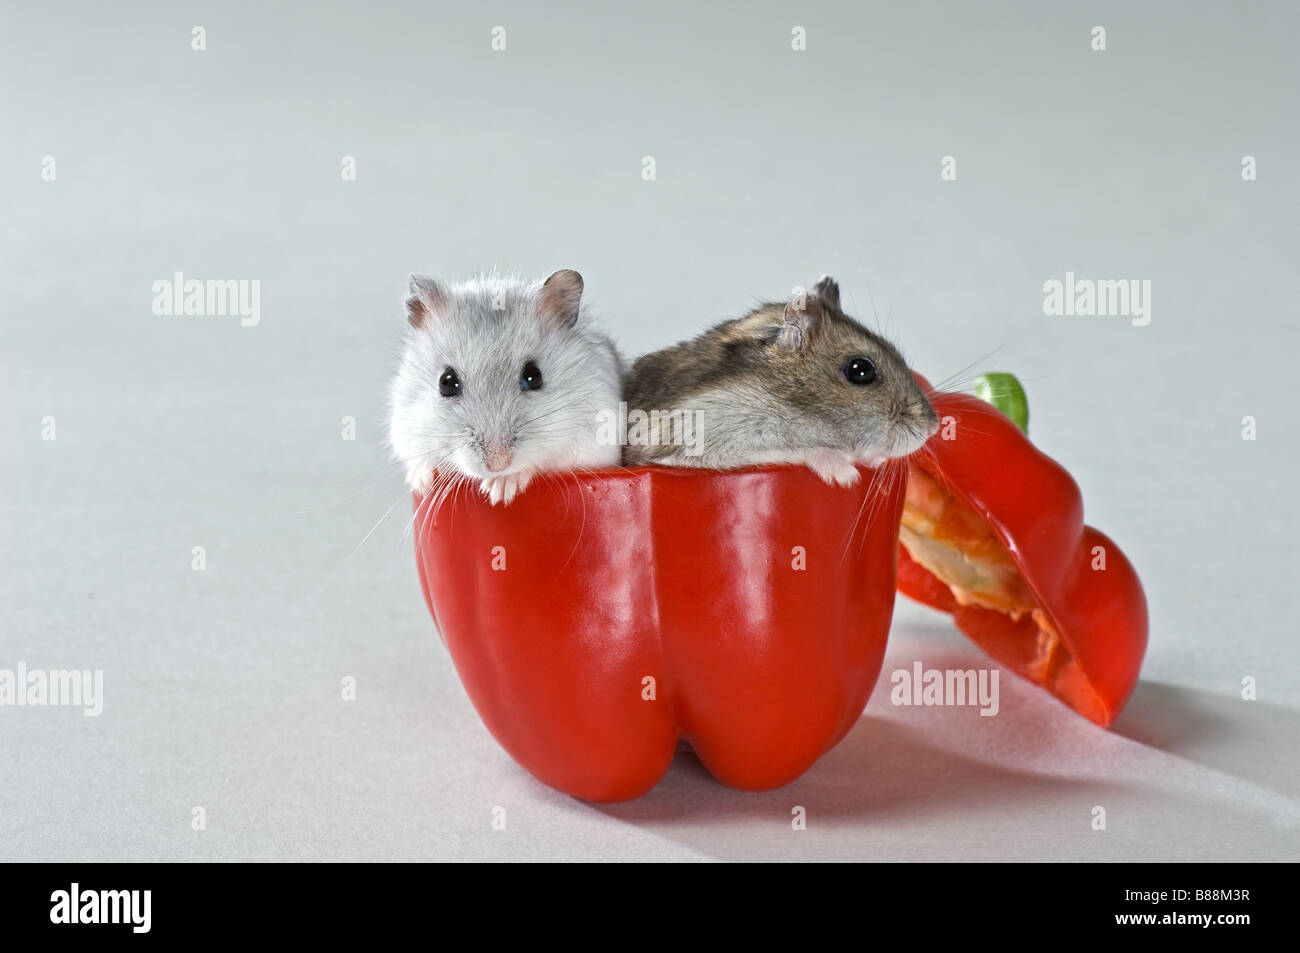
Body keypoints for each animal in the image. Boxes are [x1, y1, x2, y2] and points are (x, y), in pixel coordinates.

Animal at [388, 269, 622, 505]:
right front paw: (421, 481)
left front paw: (498, 490)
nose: (498, 465)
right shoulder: (405, 430)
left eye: (534, 376)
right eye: (446, 382)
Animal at [621, 276, 938, 485]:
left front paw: (875, 460)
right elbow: (795, 448)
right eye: (860, 370)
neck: (781, 400)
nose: (933, 427)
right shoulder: (700, 439)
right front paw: (846, 474)